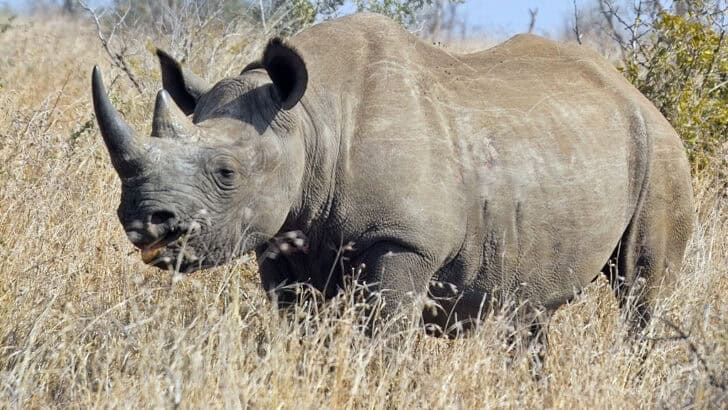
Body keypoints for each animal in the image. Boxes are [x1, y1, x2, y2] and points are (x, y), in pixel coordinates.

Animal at [91, 13, 694, 341]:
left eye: (225, 172)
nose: (144, 220)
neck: (311, 121)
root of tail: (636, 94)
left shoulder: (404, 240)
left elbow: (383, 336)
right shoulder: (284, 237)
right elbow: (298, 324)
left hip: (662, 151)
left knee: (641, 290)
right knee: (527, 306)